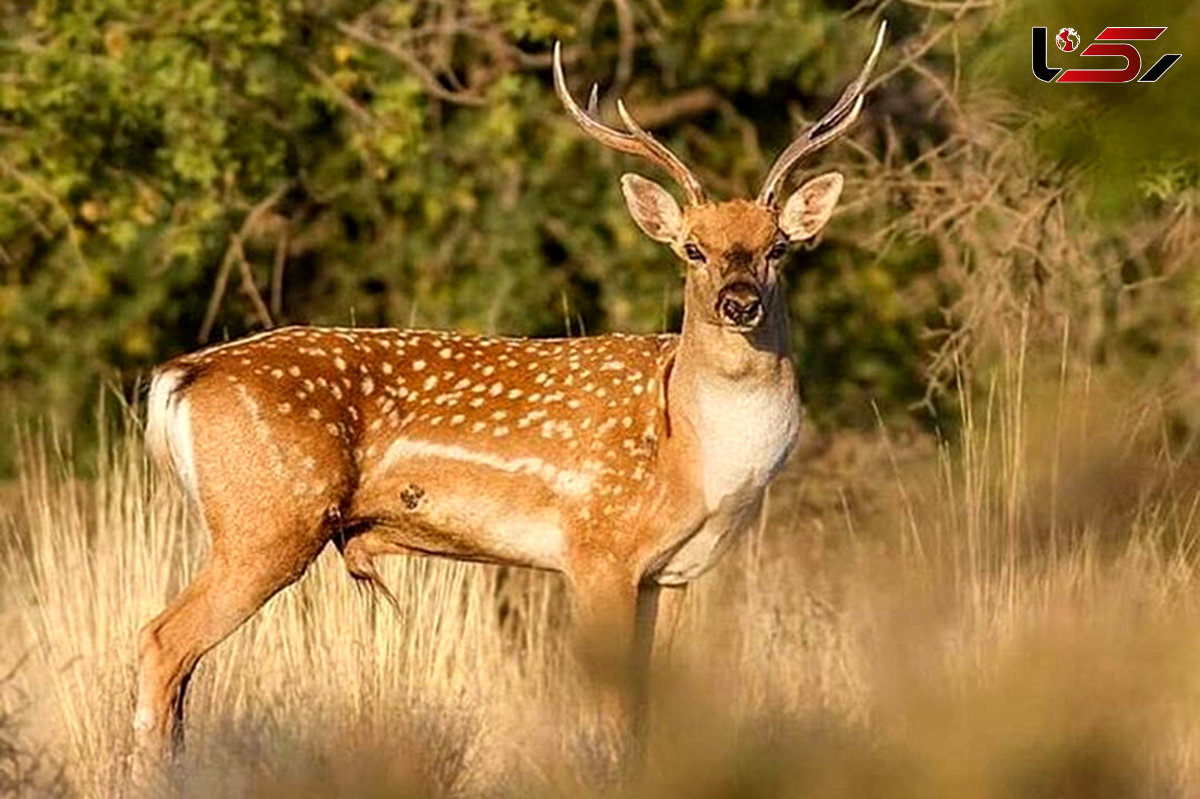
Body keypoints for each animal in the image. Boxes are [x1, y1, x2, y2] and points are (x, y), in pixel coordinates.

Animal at [136, 18, 888, 763]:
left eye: (779, 247)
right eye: (692, 249)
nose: (739, 303)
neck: (691, 449)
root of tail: (180, 374)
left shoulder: (665, 572)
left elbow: (644, 715)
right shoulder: (596, 546)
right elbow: (611, 722)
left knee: (180, 667)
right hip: (266, 520)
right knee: (162, 640)